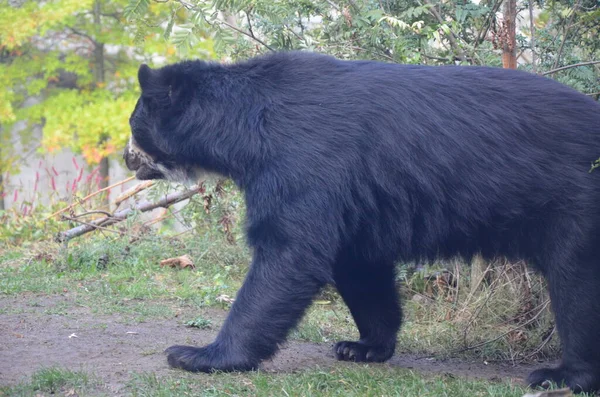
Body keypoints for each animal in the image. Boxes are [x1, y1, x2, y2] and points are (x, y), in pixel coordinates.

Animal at [124, 51, 600, 392]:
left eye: (133, 124)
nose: (128, 160)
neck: (244, 128)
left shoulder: (301, 162)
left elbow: (289, 254)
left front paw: (196, 355)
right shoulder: (356, 200)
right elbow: (358, 266)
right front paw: (363, 347)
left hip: (575, 205)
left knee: (576, 286)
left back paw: (562, 376)